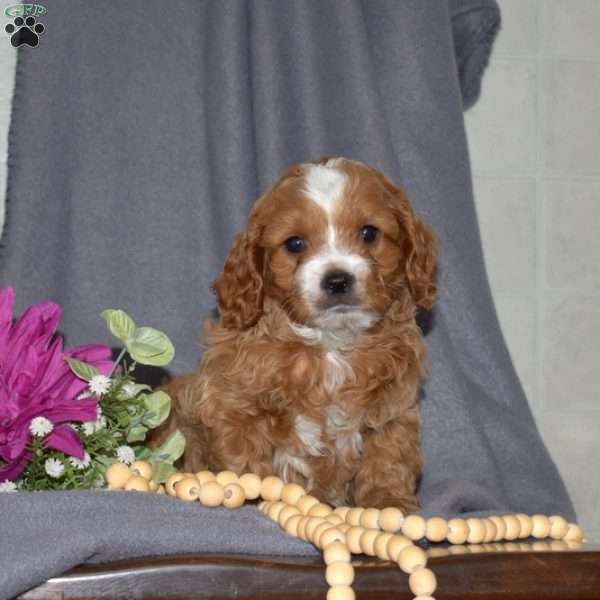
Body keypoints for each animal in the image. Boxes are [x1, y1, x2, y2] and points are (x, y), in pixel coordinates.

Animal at [152, 158, 438, 510]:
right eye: (295, 243)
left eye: (369, 233)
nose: (337, 280)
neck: (331, 345)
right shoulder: (233, 407)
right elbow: (244, 463)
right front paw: (248, 501)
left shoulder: (393, 409)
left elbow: (387, 460)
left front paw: (389, 503)